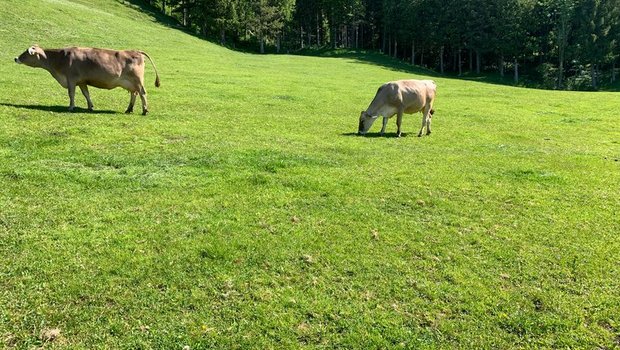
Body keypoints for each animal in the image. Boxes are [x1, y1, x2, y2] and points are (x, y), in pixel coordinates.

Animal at [14, 45, 161, 115]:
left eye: (26, 53)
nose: (16, 58)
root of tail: (136, 51)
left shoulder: (71, 79)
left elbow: (71, 94)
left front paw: (71, 107)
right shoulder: (82, 82)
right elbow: (86, 94)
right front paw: (90, 106)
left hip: (137, 81)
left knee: (142, 93)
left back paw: (144, 110)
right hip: (130, 83)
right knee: (134, 94)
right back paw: (129, 109)